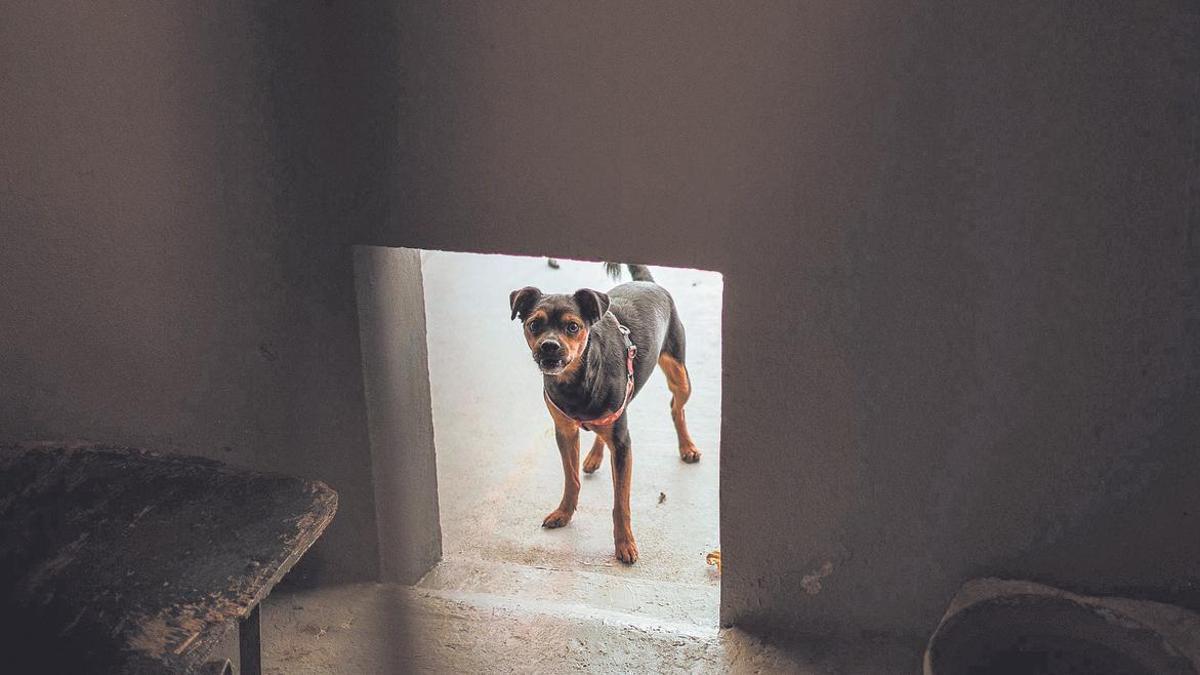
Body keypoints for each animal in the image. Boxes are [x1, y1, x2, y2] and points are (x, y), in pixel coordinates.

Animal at [508, 261, 700, 562]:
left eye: (573, 326)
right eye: (534, 324)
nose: (549, 346)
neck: (576, 382)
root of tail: (648, 282)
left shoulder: (622, 445)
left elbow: (620, 502)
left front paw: (624, 544)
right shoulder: (565, 432)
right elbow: (571, 479)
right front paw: (564, 513)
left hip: (679, 376)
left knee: (676, 408)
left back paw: (687, 447)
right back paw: (594, 457)